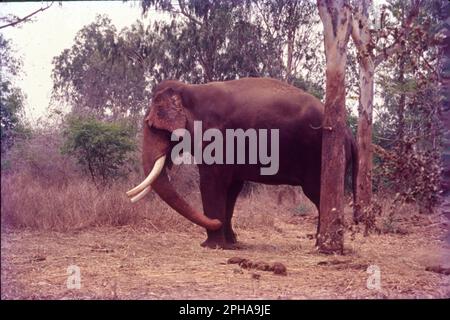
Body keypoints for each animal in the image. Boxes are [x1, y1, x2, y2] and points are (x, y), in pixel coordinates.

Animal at [126, 77, 358, 250]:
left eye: (151, 126)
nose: (215, 223)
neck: (190, 88)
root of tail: (348, 132)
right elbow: (232, 188)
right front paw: (230, 242)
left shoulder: (216, 137)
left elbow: (212, 182)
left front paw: (211, 245)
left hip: (317, 156)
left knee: (318, 195)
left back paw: (320, 245)